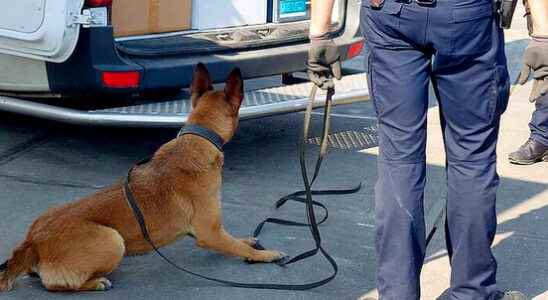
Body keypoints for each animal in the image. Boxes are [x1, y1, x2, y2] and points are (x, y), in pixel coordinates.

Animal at [3, 63, 286, 292]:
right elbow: (238, 247)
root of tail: (33, 242)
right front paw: (266, 255)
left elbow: (237, 240)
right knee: (56, 285)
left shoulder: (214, 231)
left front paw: (250, 240)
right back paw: (96, 283)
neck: (199, 137)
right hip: (112, 240)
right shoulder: (210, 233)